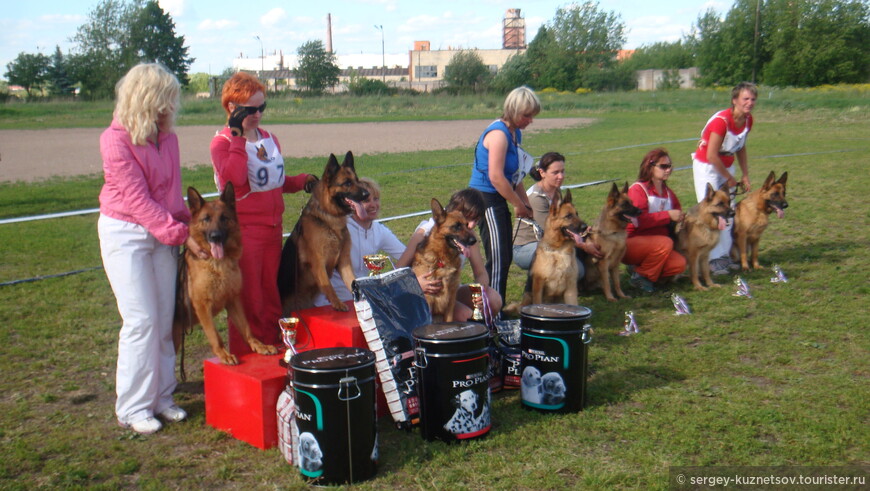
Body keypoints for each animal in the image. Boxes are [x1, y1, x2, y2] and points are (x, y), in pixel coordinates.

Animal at [172, 183, 278, 368]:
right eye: (206, 219)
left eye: (224, 218)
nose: (216, 236)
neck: (217, 265)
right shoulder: (203, 306)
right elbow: (215, 335)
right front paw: (224, 355)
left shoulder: (233, 300)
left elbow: (247, 328)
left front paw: (260, 346)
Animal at [280, 154, 372, 314]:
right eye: (347, 183)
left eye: (357, 180)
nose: (367, 194)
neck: (329, 218)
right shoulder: (319, 263)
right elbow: (328, 285)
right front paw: (337, 303)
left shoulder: (343, 261)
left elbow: (352, 280)